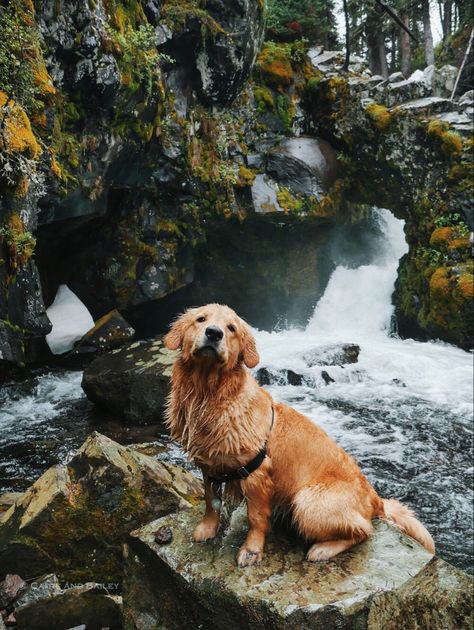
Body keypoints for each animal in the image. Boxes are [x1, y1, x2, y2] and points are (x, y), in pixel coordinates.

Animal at [165, 304, 436, 572]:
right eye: (201, 319)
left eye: (231, 328)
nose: (214, 333)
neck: (209, 395)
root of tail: (375, 497)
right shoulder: (209, 465)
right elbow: (211, 501)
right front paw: (207, 529)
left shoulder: (256, 472)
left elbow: (256, 517)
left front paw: (252, 551)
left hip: (308, 501)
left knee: (364, 531)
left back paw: (323, 549)